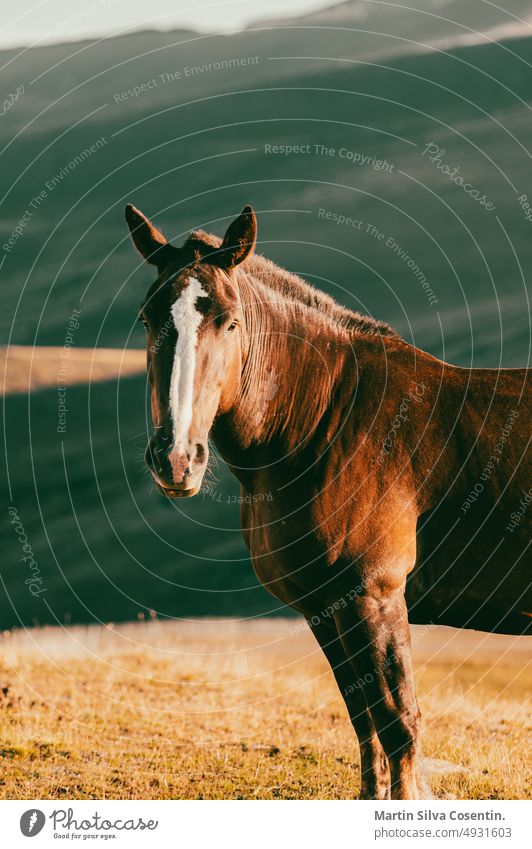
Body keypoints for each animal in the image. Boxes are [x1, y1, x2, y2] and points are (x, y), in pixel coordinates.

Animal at [127, 202, 528, 800]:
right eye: (149, 320)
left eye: (231, 322)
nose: (176, 458)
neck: (323, 426)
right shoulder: (325, 605)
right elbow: (365, 724)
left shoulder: (374, 595)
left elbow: (399, 724)